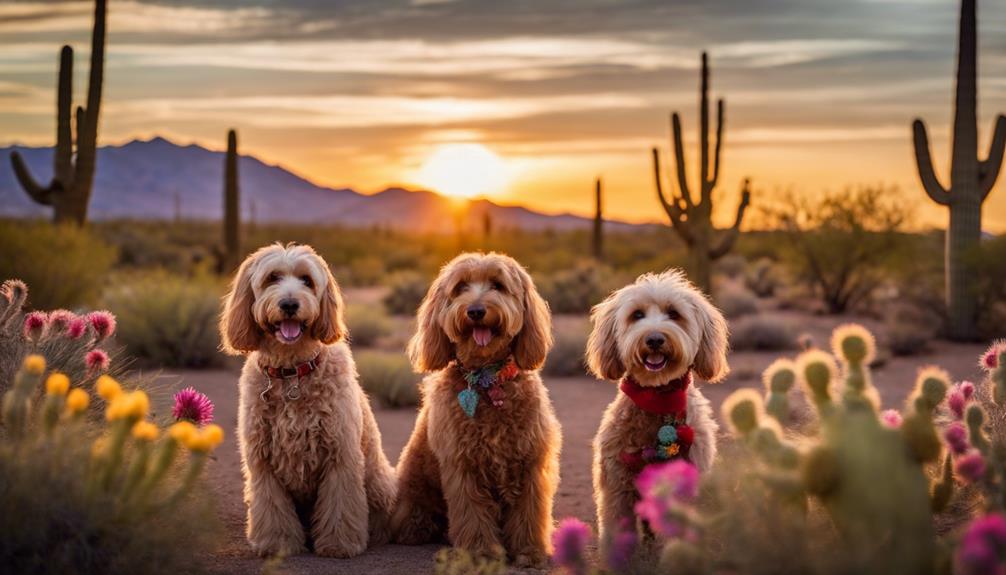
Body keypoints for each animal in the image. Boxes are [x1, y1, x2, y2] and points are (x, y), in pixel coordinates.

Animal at [220, 243, 396, 558]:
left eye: (307, 280)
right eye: (272, 278)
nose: (290, 304)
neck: (292, 372)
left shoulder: (340, 455)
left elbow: (340, 505)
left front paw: (339, 544)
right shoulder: (262, 461)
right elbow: (272, 507)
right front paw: (277, 544)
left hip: (378, 484)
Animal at [390, 251, 563, 566]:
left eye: (497, 285)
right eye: (460, 287)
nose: (475, 311)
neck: (486, 380)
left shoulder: (531, 460)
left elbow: (530, 512)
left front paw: (529, 551)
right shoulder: (463, 464)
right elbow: (473, 514)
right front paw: (480, 553)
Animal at [587, 271, 728, 562]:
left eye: (674, 314)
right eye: (637, 315)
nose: (653, 339)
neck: (657, 397)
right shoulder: (616, 484)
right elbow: (618, 525)